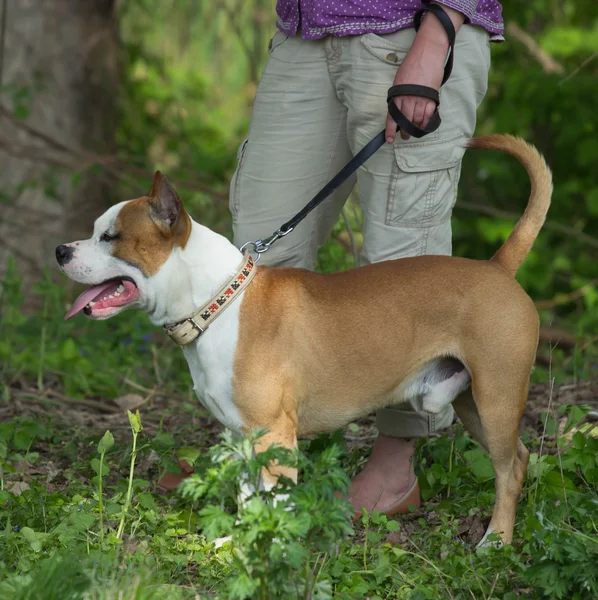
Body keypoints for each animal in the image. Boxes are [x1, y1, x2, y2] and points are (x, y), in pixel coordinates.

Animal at [56, 136, 552, 548]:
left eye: (111, 237)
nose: (61, 250)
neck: (218, 301)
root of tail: (497, 267)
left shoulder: (274, 435)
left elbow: (274, 503)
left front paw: (269, 550)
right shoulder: (241, 436)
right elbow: (248, 498)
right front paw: (237, 546)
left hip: (496, 398)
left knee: (509, 470)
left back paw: (496, 541)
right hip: (472, 404)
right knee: (521, 457)